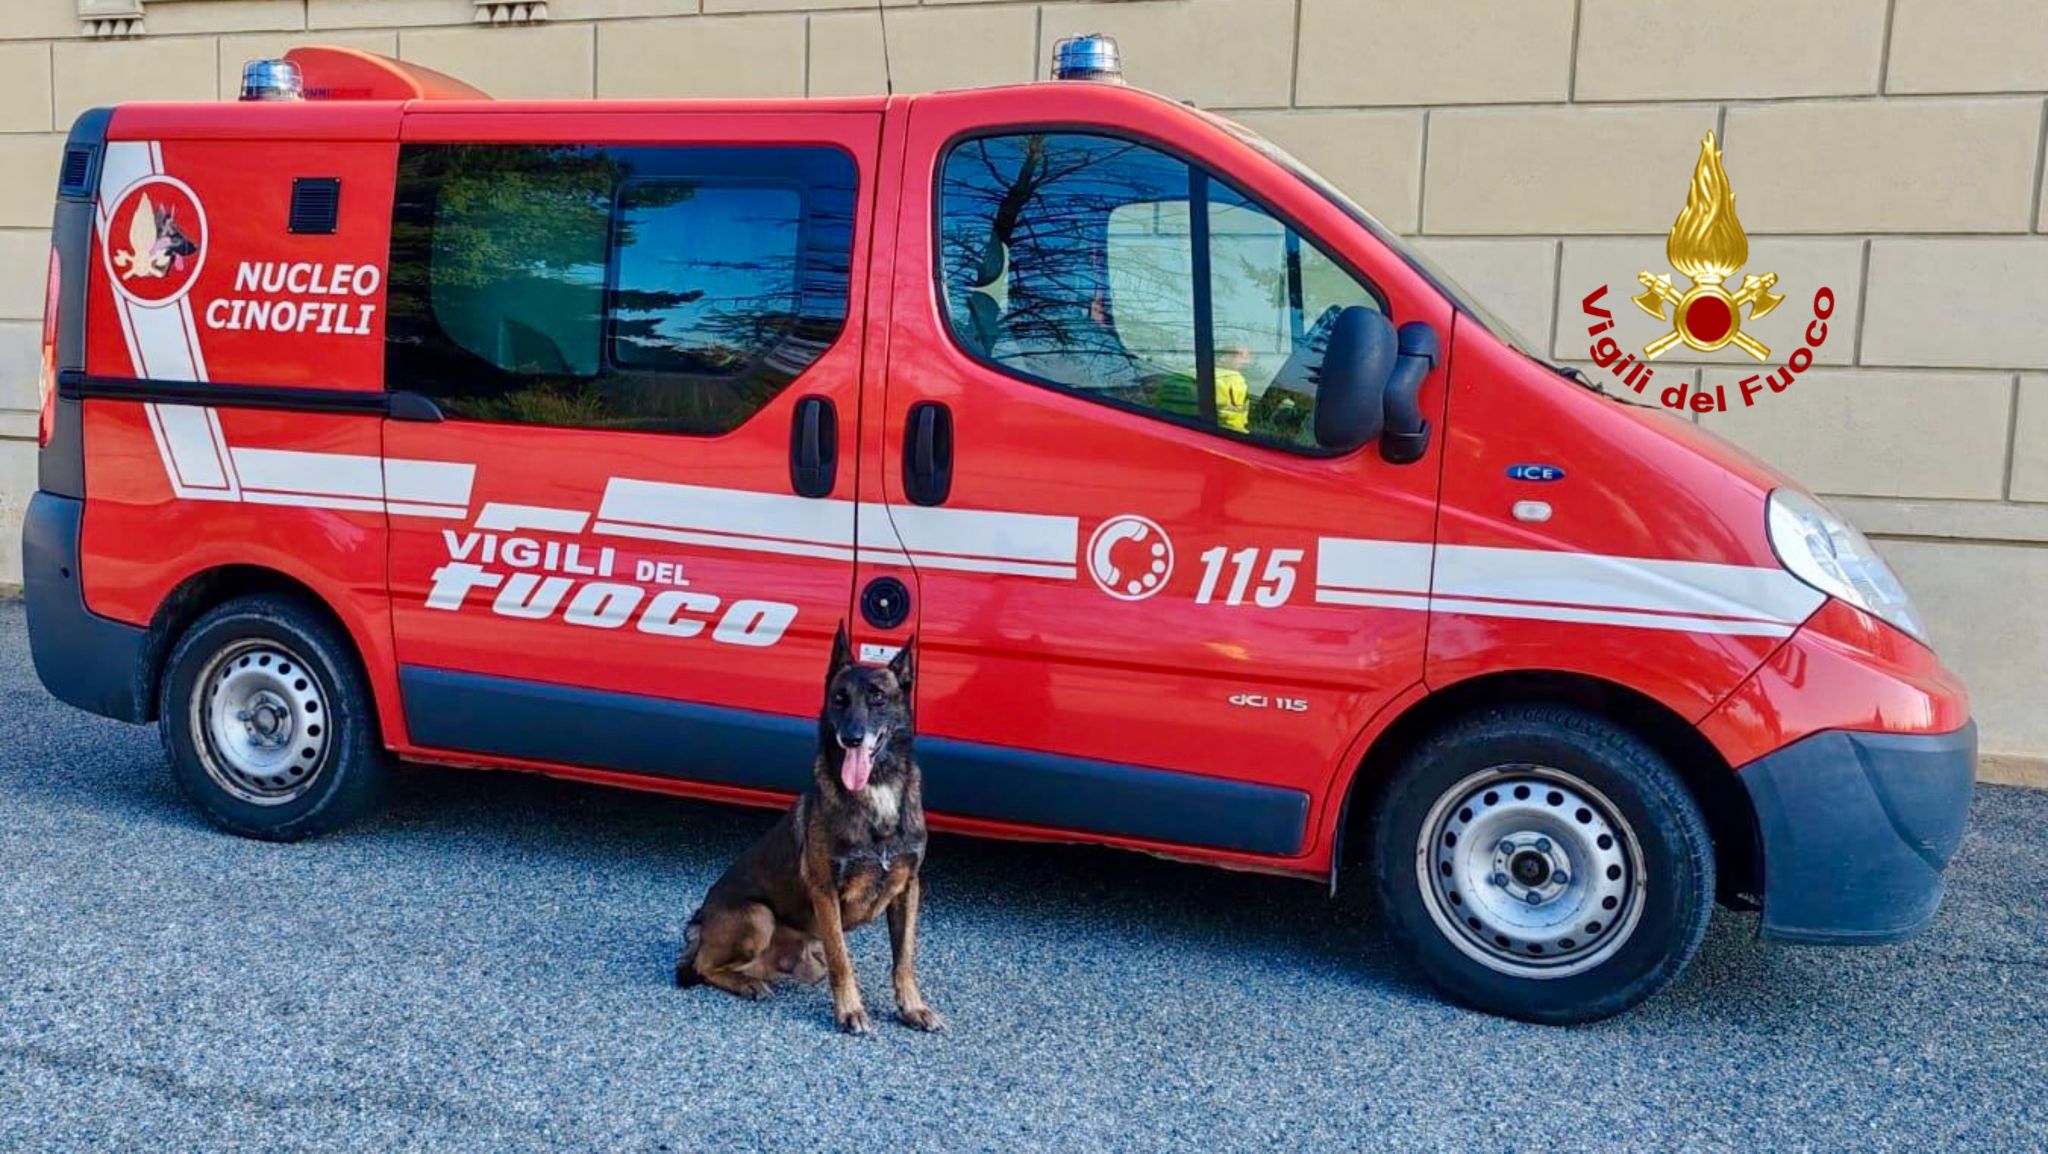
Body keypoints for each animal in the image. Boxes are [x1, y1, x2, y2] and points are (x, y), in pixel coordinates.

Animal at [679, 627, 950, 1033]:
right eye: (839, 699)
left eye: (878, 698)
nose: (851, 738)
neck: (877, 789)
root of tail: (699, 922)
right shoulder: (826, 891)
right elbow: (842, 960)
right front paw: (850, 1011)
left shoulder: (908, 889)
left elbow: (903, 960)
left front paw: (912, 1008)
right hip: (758, 916)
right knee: (703, 966)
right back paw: (747, 984)